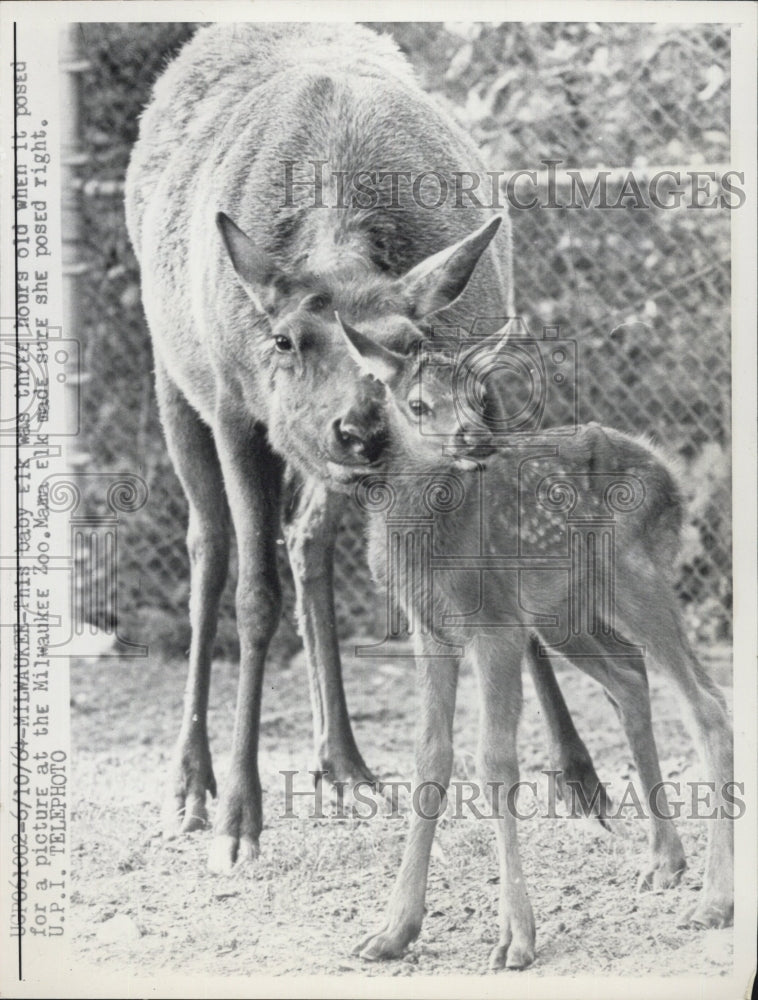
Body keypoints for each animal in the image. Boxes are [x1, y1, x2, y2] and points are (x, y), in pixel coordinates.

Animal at [126, 19, 510, 872]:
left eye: (411, 341)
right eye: (284, 340)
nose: (361, 429)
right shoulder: (237, 411)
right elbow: (253, 596)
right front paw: (241, 817)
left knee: (307, 541)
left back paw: (344, 765)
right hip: (173, 379)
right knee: (208, 550)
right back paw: (189, 785)